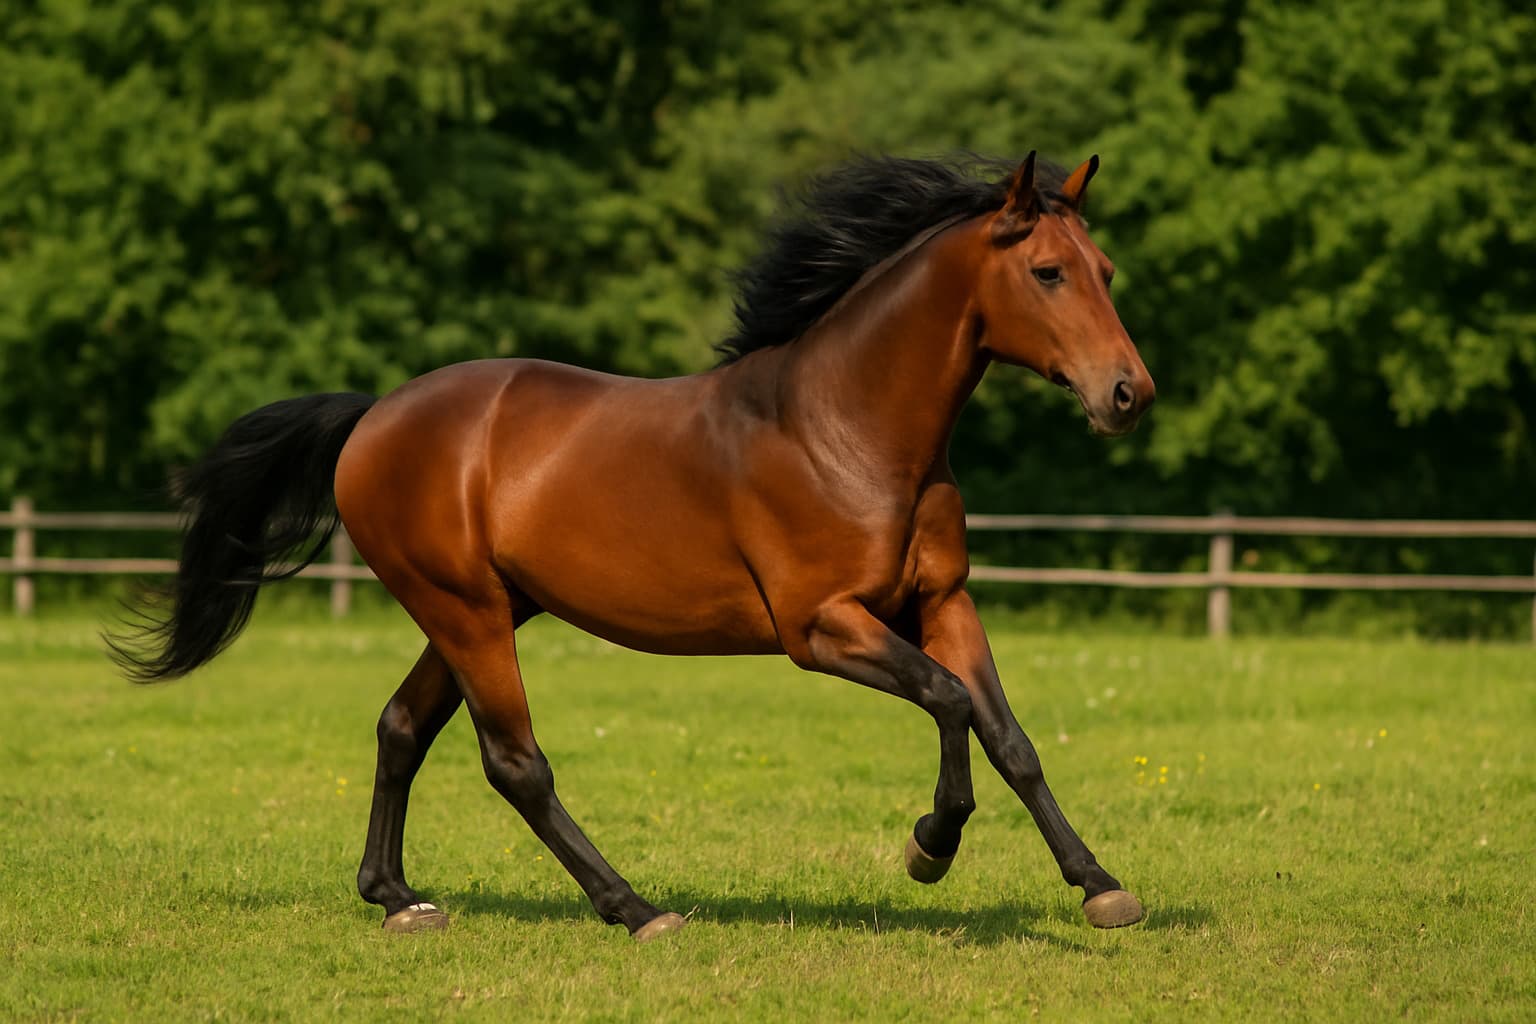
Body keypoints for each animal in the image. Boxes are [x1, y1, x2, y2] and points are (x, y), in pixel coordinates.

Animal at [112, 151, 1155, 942]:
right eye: (1048, 272)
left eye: (1106, 269)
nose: (1128, 394)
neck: (846, 431)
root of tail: (375, 417)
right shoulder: (821, 629)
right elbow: (950, 704)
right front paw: (929, 847)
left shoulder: (942, 602)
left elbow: (1010, 737)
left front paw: (1100, 886)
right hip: (465, 611)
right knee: (514, 763)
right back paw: (636, 908)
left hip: (478, 611)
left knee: (402, 728)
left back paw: (400, 898)